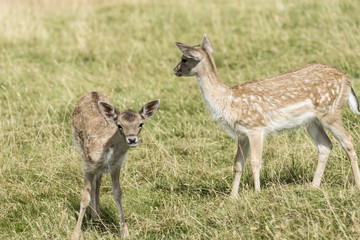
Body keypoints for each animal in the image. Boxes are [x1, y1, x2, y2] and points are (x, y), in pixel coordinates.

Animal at [71, 91, 160, 238]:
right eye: (119, 125)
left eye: (141, 124)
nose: (132, 139)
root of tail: (93, 92)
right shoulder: (88, 165)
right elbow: (85, 198)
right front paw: (75, 233)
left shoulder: (116, 166)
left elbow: (118, 194)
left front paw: (124, 231)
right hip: (81, 148)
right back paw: (95, 216)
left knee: (98, 182)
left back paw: (96, 216)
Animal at [172, 34, 360, 199]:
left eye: (184, 59)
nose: (174, 70)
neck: (227, 101)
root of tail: (347, 79)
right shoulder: (241, 134)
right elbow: (238, 164)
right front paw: (232, 197)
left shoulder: (255, 127)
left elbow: (255, 162)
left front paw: (257, 193)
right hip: (312, 122)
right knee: (325, 145)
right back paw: (313, 186)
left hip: (331, 112)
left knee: (348, 140)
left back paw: (356, 184)